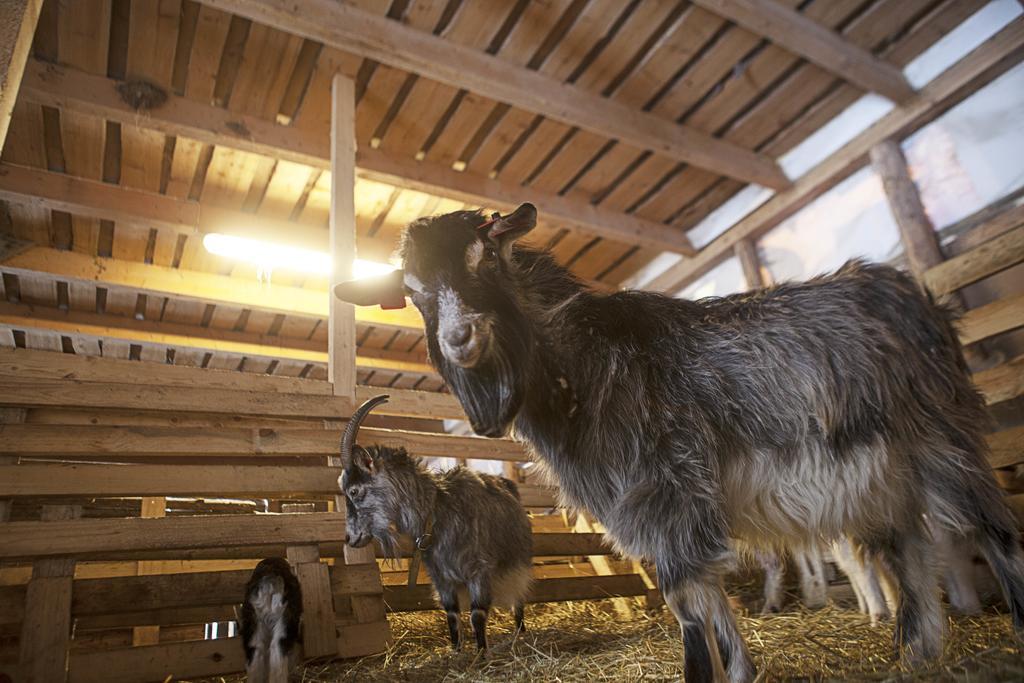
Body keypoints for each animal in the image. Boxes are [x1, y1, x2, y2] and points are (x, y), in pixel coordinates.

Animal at [344, 393, 536, 651]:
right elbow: (452, 615)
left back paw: (520, 631)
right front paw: (457, 650)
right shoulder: (441, 578)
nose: (350, 537)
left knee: (519, 595)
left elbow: (477, 614)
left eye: (353, 491)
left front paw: (481, 653)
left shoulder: (479, 571)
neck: (437, 512)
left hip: (518, 559)